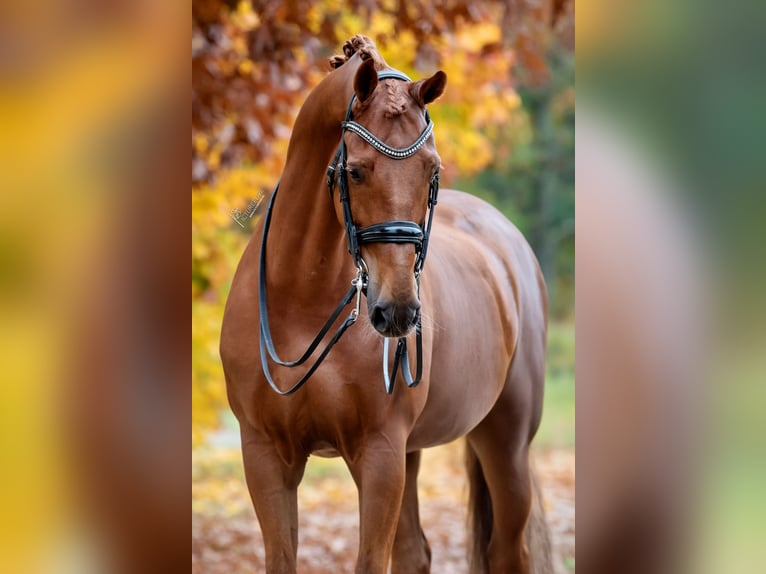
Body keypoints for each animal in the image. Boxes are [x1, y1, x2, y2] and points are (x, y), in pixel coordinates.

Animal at [220, 35, 552, 574]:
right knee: (416, 552)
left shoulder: (379, 454)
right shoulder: (265, 455)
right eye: (355, 172)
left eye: (432, 169)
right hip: (414, 451)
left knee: (507, 551)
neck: (301, 301)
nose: (396, 312)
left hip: (505, 441)